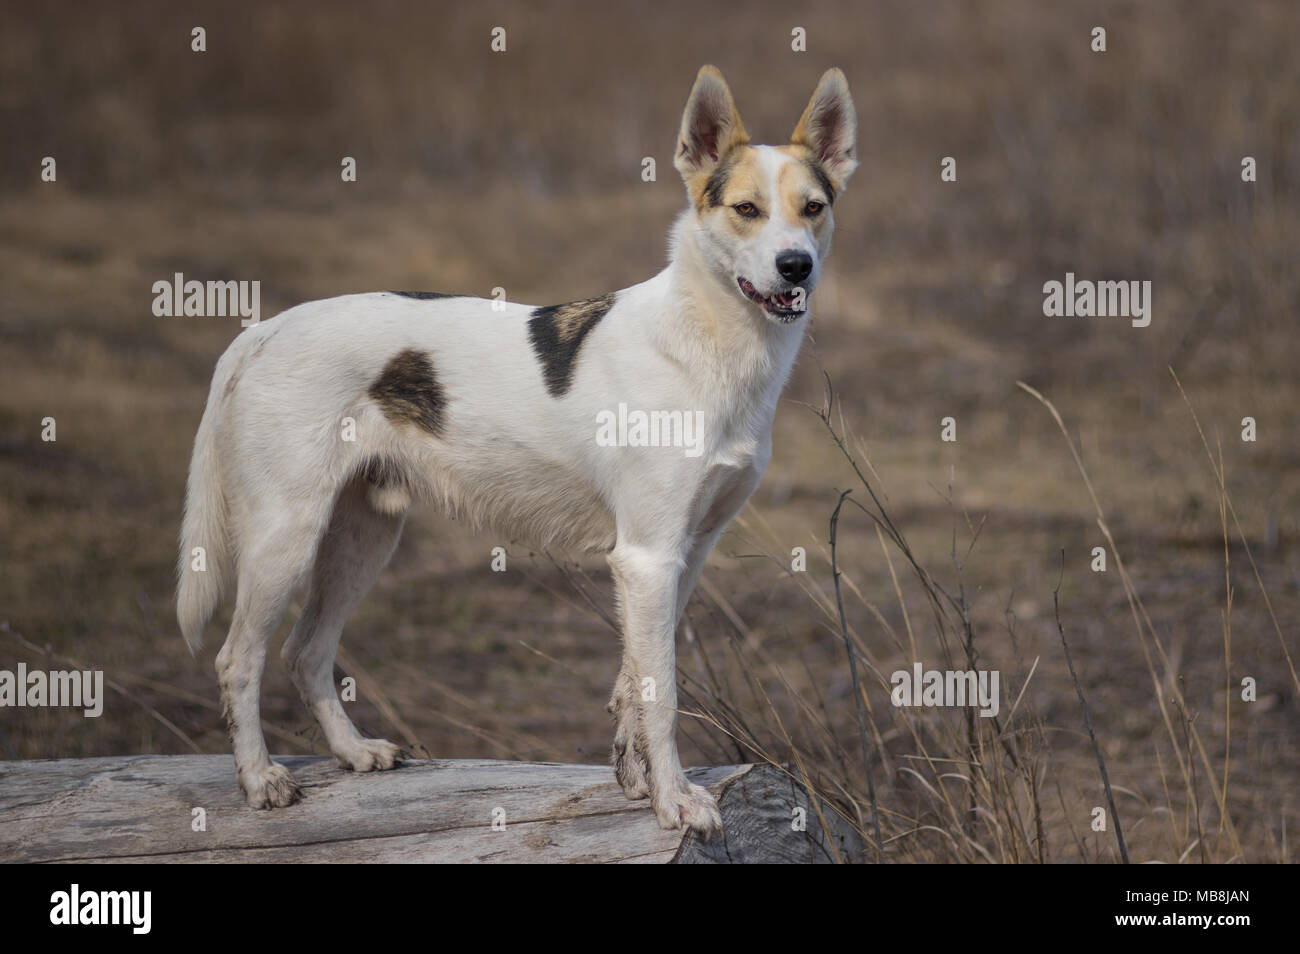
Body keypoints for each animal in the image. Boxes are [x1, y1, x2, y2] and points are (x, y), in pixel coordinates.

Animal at [178, 63, 857, 837]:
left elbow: (632, 685)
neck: (710, 347)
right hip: (283, 542)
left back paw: (353, 753)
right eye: (746, 209)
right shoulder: (648, 559)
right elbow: (661, 694)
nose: (795, 266)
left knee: (306, 651)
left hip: (362, 539)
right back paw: (259, 780)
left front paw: (633, 779)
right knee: (239, 659)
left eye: (812, 208)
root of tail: (263, 330)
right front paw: (675, 801)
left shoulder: (684, 556)